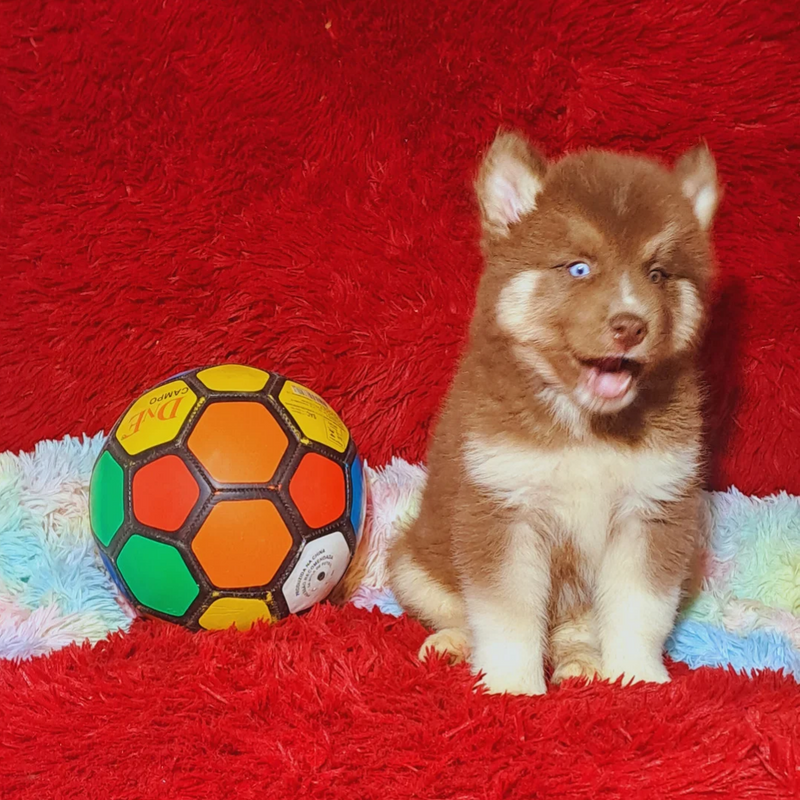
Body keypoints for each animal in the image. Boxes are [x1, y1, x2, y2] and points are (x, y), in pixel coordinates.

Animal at [388, 131, 720, 692]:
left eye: (657, 274)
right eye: (579, 268)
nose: (631, 325)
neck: (587, 427)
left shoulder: (652, 510)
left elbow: (640, 609)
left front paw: (639, 679)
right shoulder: (504, 510)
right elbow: (507, 614)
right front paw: (510, 684)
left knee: (574, 630)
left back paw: (581, 663)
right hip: (412, 561)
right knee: (455, 609)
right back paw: (453, 644)